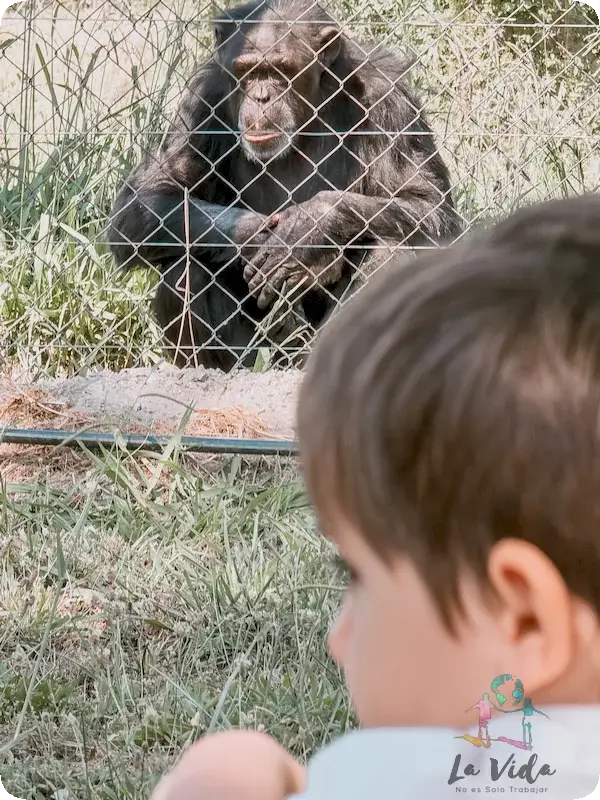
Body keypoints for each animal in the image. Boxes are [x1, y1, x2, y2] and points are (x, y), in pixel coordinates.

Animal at [108, 0, 462, 370]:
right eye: (247, 71)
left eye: (281, 70)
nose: (262, 97)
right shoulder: (202, 100)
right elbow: (149, 199)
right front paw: (261, 236)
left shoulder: (390, 98)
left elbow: (429, 206)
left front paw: (310, 228)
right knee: (186, 268)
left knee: (391, 250)